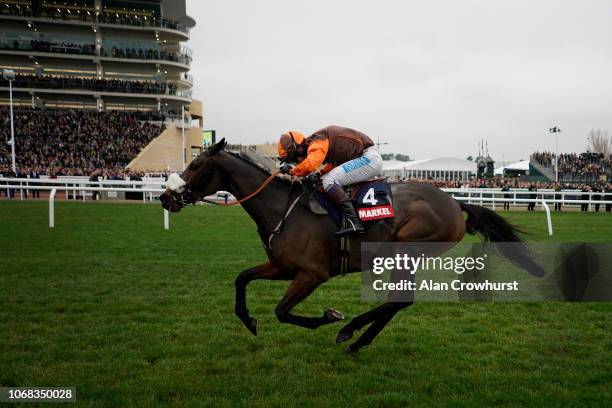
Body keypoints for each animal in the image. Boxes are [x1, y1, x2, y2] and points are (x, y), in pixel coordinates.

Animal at [160, 139, 544, 352]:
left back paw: (349, 331)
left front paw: (331, 317)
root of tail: (454, 202)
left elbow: (282, 311)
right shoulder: (283, 267)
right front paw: (249, 320)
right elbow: (241, 278)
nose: (165, 197)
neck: (282, 208)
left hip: (407, 249)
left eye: (196, 163)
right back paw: (358, 340)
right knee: (399, 302)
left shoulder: (312, 274)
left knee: (399, 300)